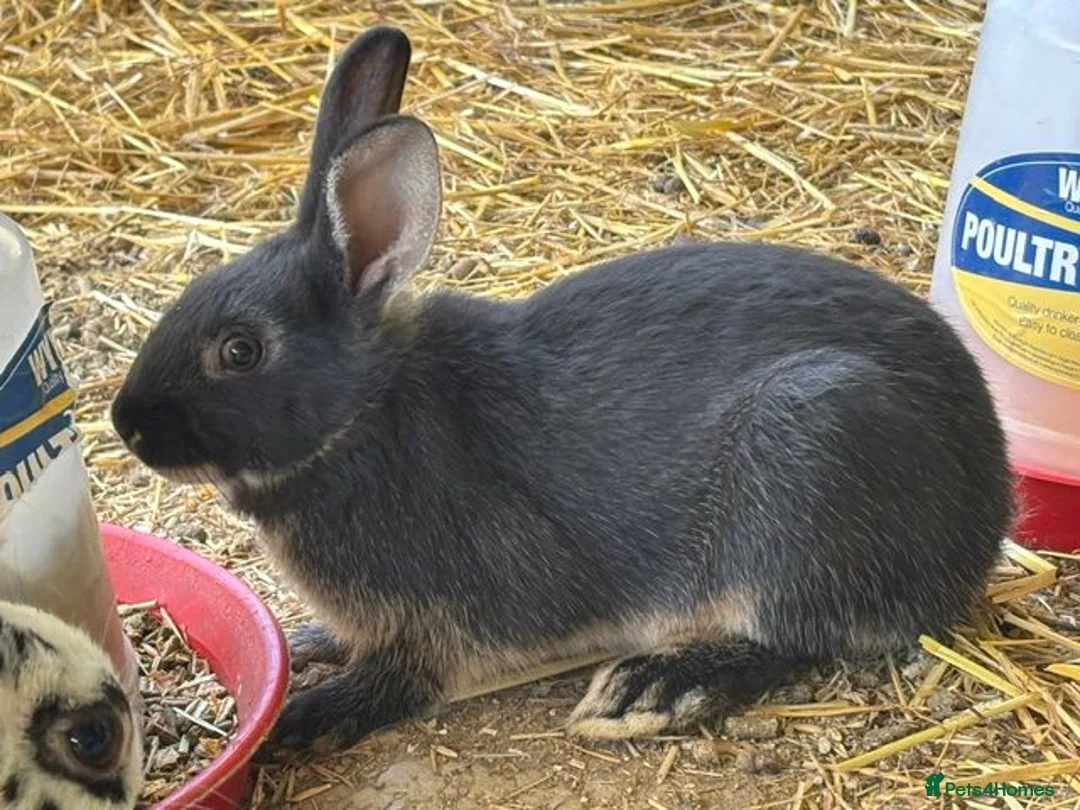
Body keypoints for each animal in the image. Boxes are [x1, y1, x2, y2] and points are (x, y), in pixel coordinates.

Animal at [109, 25, 1013, 758]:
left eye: (240, 350)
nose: (128, 426)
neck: (362, 413)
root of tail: (984, 518)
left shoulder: (437, 621)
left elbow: (400, 681)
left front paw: (309, 716)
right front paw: (305, 641)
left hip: (807, 458)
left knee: (797, 635)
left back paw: (650, 688)